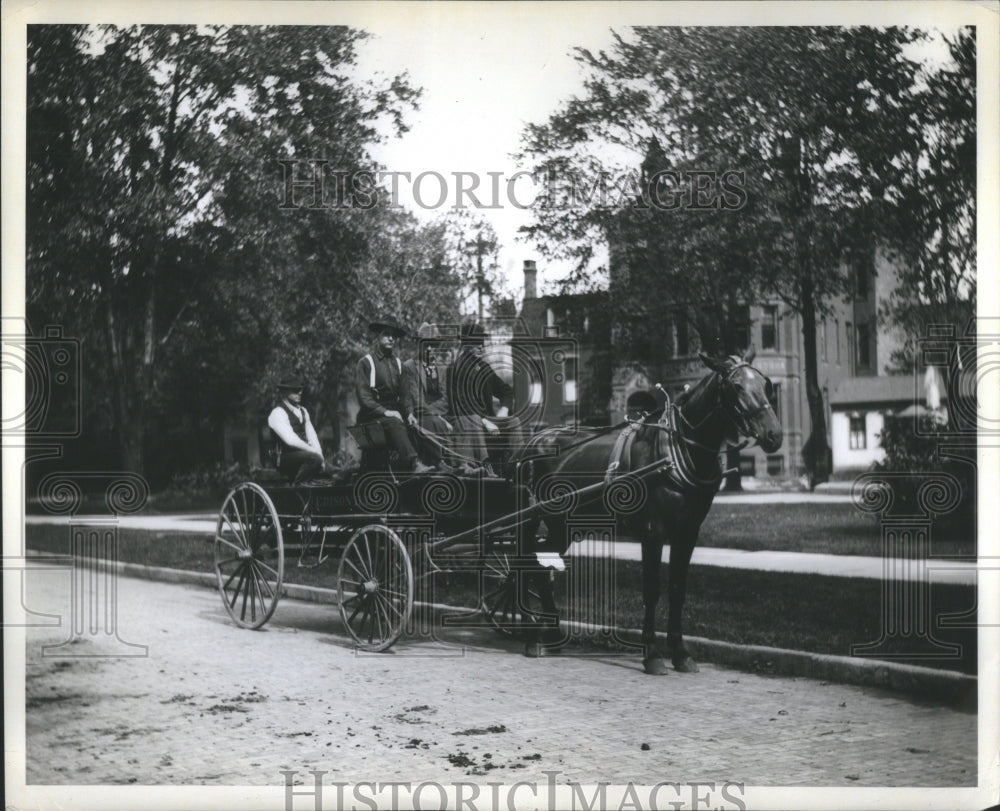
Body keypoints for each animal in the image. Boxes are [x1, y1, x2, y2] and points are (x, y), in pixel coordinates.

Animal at [516, 348, 780, 672]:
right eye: (736, 386)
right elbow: (652, 589)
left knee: (540, 567)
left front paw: (680, 652)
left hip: (562, 524)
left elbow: (677, 588)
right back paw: (532, 634)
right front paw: (652, 653)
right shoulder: (653, 531)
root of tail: (535, 439)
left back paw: (550, 634)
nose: (774, 434)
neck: (674, 453)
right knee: (525, 562)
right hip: (533, 518)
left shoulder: (687, 532)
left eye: (766, 385)